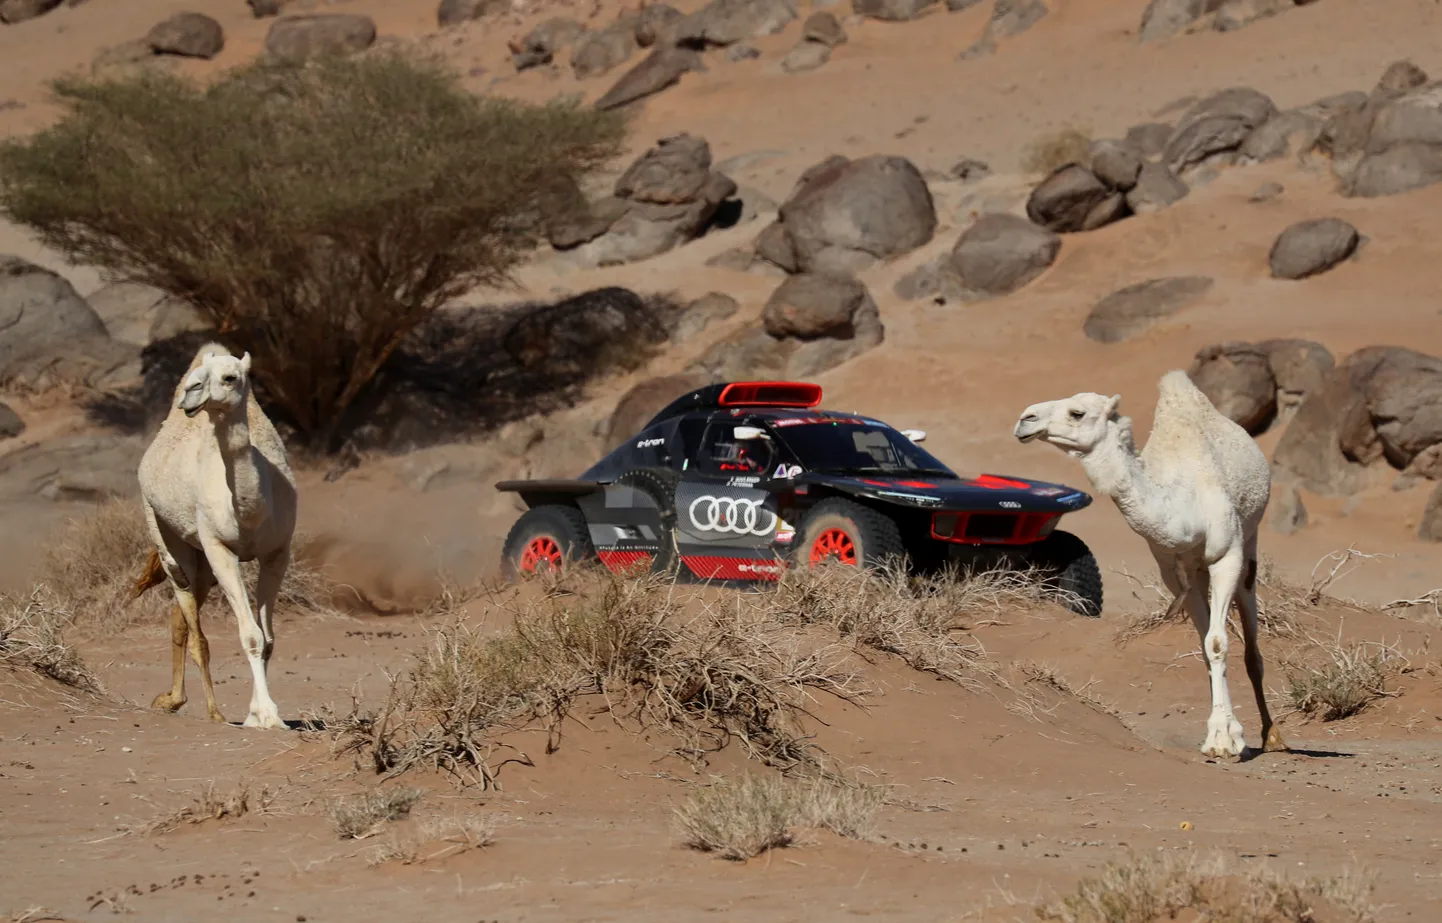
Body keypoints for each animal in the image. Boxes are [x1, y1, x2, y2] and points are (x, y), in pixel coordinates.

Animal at [133, 340, 298, 726]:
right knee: (192, 621)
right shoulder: (220, 548)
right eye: (197, 377)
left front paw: (259, 713)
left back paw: (172, 700)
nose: (190, 392)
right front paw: (265, 714)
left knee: (179, 619)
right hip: (166, 535)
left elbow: (268, 639)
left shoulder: (277, 552)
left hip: (202, 565)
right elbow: (251, 635)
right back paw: (209, 711)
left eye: (230, 377)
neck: (252, 508)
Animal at [1009, 372, 1292, 761]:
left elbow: (1218, 642)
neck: (1183, 507)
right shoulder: (1171, 568)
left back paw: (1272, 734)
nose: (1025, 419)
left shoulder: (1226, 554)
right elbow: (1206, 647)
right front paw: (1218, 733)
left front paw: (1226, 741)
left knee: (1251, 639)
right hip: (1197, 570)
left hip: (1249, 543)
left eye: (1077, 413)